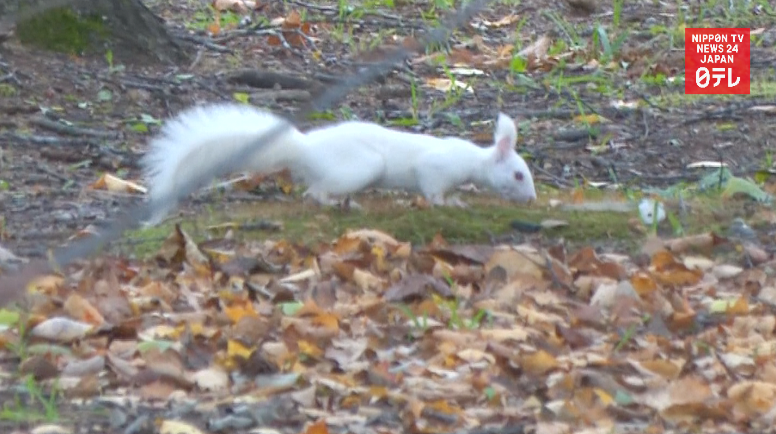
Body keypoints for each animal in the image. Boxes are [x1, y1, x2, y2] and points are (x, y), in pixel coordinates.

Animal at [141, 103, 537, 224]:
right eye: (518, 175)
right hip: (360, 168)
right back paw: (337, 204)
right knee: (315, 193)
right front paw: (449, 203)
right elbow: (433, 190)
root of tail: (305, 149)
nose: (532, 199)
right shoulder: (435, 169)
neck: (474, 159)